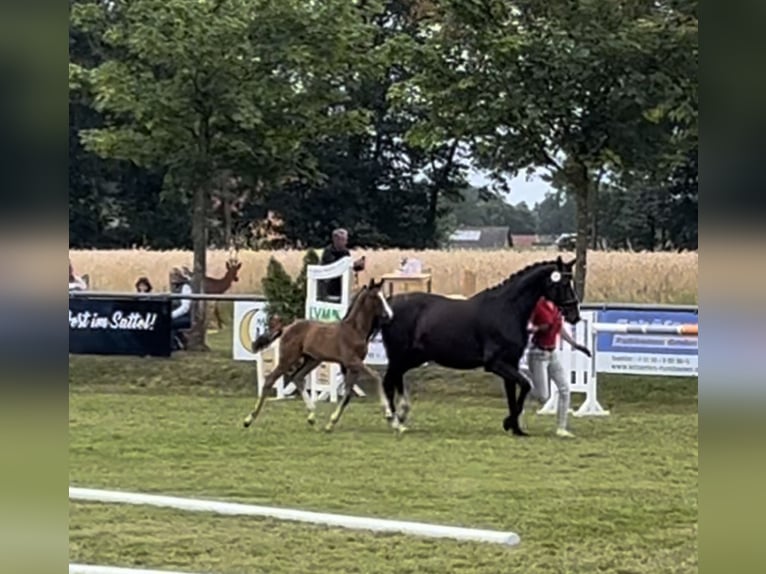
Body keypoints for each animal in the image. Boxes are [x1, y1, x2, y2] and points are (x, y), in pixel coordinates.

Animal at [242, 280, 396, 432]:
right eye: (375, 297)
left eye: (384, 296)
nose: (389, 315)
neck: (354, 330)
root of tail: (286, 328)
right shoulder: (352, 361)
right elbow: (376, 376)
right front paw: (389, 416)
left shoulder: (353, 367)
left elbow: (348, 394)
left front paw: (330, 423)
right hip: (288, 359)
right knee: (270, 380)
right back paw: (248, 419)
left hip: (312, 360)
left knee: (297, 377)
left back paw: (311, 416)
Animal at [378, 258, 584, 436]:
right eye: (563, 284)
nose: (575, 315)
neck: (507, 309)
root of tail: (389, 304)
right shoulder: (495, 364)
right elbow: (525, 385)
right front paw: (508, 423)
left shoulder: (511, 362)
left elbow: (512, 394)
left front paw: (516, 429)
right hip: (399, 356)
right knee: (388, 381)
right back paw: (395, 421)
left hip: (412, 357)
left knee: (396, 378)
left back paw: (401, 416)